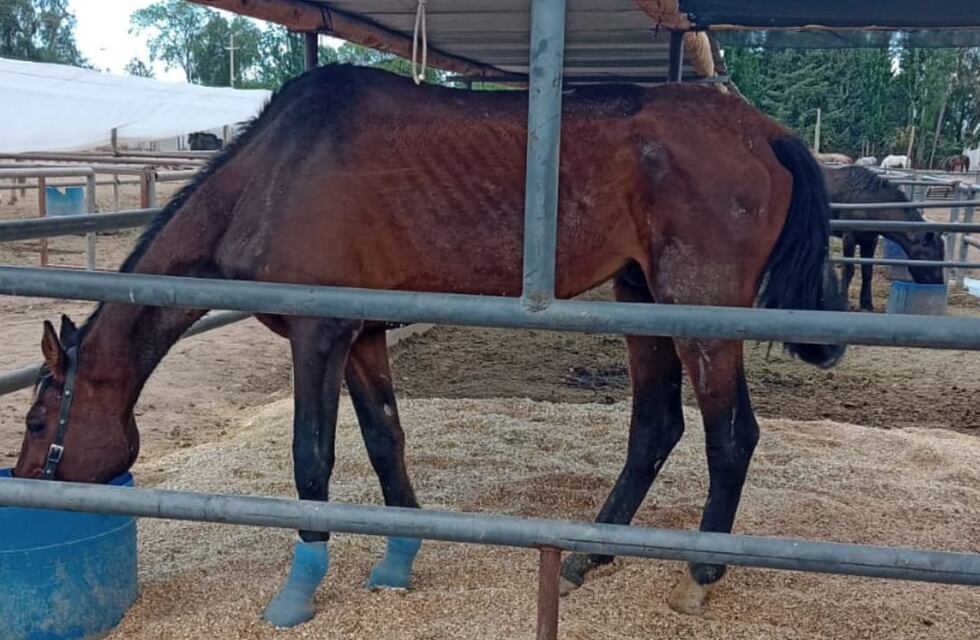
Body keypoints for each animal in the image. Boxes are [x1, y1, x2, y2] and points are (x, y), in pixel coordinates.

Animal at [12, 65, 845, 627]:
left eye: (36, 420)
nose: (22, 487)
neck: (274, 173)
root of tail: (764, 131)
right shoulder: (363, 336)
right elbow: (387, 442)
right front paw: (397, 561)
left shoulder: (318, 335)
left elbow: (312, 457)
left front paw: (298, 590)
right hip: (641, 300)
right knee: (656, 427)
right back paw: (585, 557)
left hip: (701, 316)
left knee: (731, 437)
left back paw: (699, 577)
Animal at [823, 165, 945, 311]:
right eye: (929, 257)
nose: (937, 283)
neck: (869, 202)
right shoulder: (849, 238)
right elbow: (848, 270)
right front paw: (845, 302)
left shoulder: (870, 240)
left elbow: (867, 272)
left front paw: (867, 303)